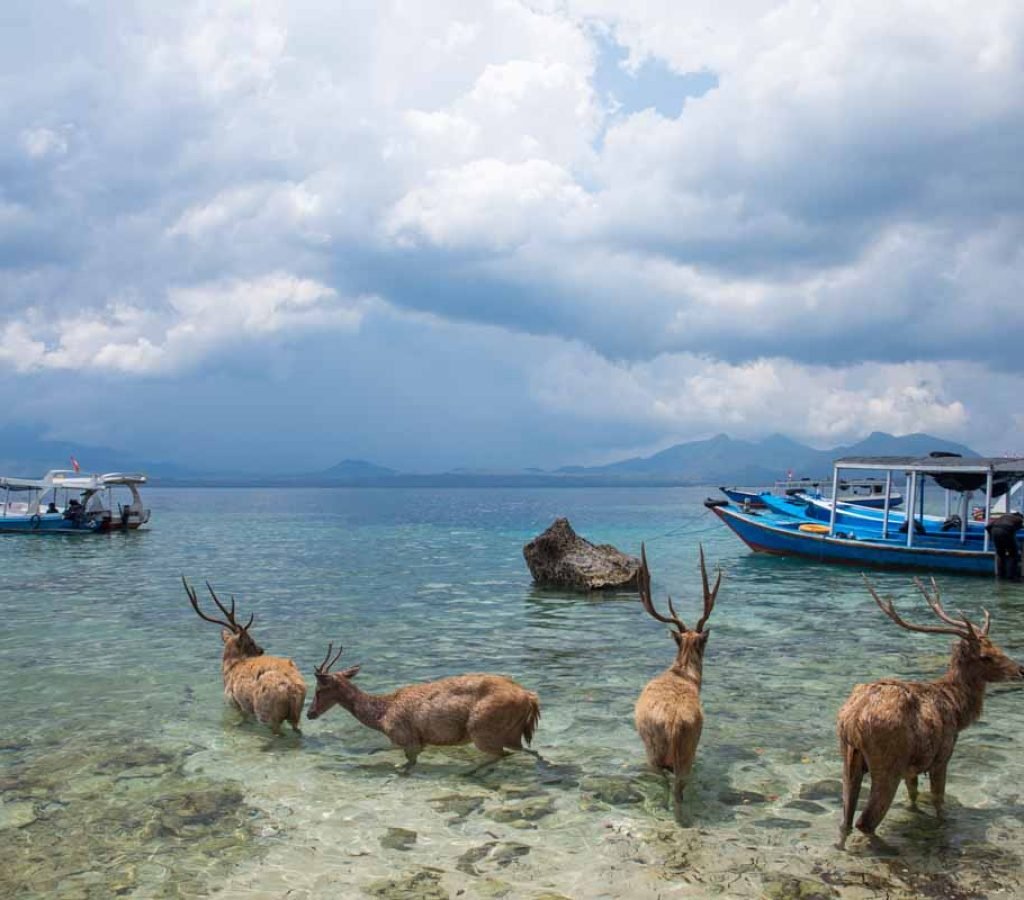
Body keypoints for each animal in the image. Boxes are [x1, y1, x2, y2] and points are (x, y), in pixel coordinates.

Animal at [184, 581, 305, 737]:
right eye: (251, 642)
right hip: (296, 713)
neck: (230, 668)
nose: (261, 650)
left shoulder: (234, 702)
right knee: (297, 729)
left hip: (267, 712)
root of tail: (292, 688)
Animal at [305, 638, 540, 774]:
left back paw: (469, 771)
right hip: (511, 732)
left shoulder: (406, 737)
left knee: (502, 754)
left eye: (319, 690)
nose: (310, 713)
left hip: (482, 728)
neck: (381, 716)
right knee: (530, 750)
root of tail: (530, 697)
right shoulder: (418, 742)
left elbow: (391, 756)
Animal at [839, 581, 1024, 847]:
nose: (1021, 669)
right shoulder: (942, 755)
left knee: (845, 818)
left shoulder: (912, 768)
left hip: (848, 757)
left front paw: (914, 812)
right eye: (985, 656)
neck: (958, 710)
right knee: (865, 820)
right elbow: (938, 799)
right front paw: (943, 824)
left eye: (996, 645)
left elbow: (914, 793)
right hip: (888, 761)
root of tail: (852, 720)